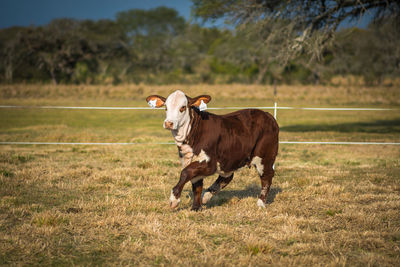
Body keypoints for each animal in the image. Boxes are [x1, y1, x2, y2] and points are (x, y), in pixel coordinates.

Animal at [145, 90, 280, 211]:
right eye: (166, 107)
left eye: (182, 107)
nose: (169, 123)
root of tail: (267, 115)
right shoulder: (189, 160)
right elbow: (196, 185)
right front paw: (196, 207)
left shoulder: (209, 163)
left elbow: (185, 173)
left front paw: (174, 200)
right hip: (230, 158)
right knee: (227, 176)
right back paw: (207, 195)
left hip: (265, 155)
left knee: (267, 176)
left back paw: (260, 203)